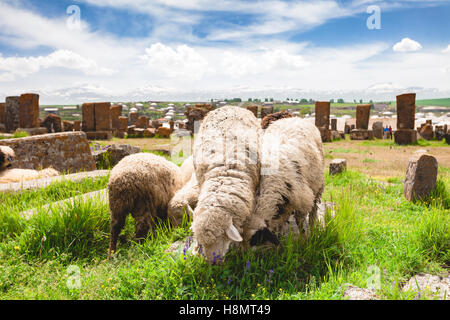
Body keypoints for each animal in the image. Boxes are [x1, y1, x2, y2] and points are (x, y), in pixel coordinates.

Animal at [189, 106, 260, 264]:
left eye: (221, 237)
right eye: (202, 243)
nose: (212, 263)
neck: (224, 174)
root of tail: (230, 106)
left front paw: (244, 250)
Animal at [246, 117, 324, 245]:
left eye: (256, 240)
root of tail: (294, 118)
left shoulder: (302, 199)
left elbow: (300, 222)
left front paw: (304, 240)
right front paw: (280, 235)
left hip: (318, 185)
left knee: (314, 209)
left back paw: (313, 228)